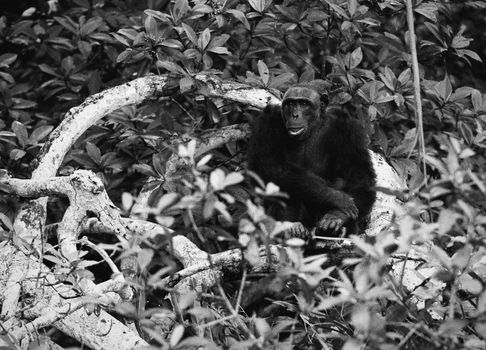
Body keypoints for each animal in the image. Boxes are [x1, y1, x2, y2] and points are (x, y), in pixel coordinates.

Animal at [247, 80, 376, 237]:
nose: (295, 115)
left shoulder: (349, 129)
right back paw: (293, 228)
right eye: (291, 103)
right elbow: (272, 164)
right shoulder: (268, 120)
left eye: (304, 103)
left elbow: (360, 176)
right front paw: (338, 198)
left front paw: (337, 216)